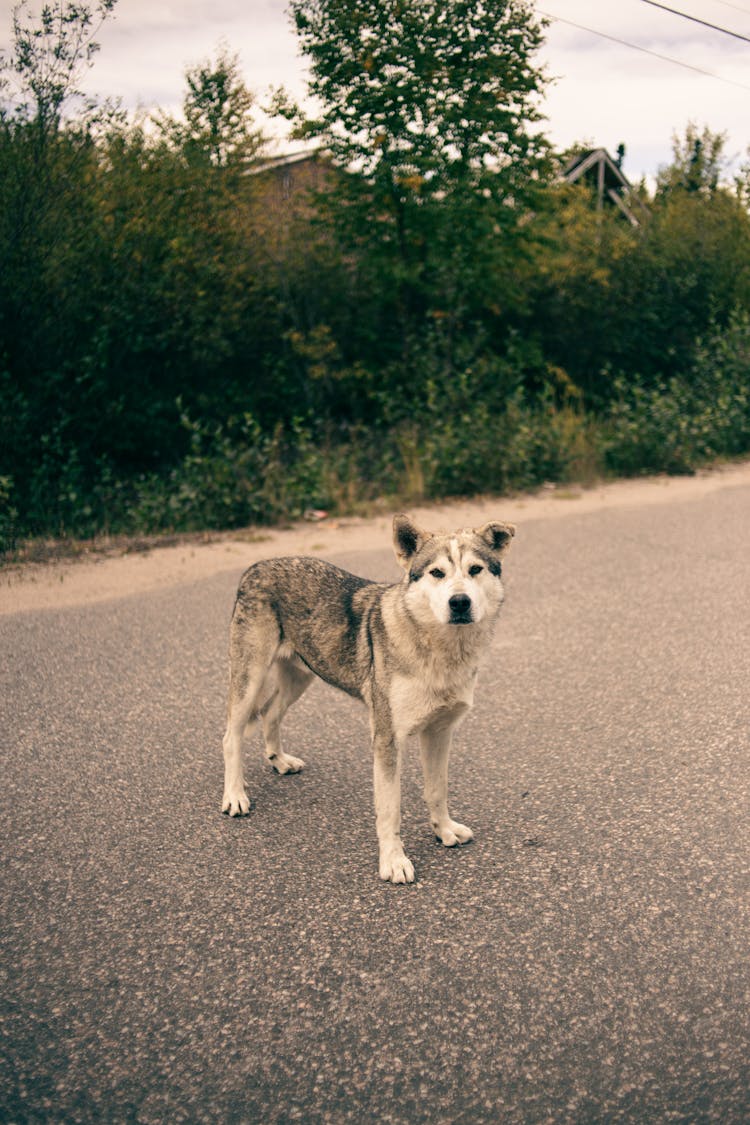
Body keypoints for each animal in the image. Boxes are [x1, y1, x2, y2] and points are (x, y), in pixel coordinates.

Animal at [221, 515, 517, 882]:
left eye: (475, 569)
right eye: (437, 573)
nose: (459, 602)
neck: (441, 652)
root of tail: (257, 565)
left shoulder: (439, 732)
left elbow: (437, 790)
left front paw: (444, 830)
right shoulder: (387, 740)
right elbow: (390, 810)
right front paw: (393, 862)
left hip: (301, 677)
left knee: (270, 714)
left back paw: (280, 761)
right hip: (250, 679)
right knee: (231, 736)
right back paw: (235, 796)